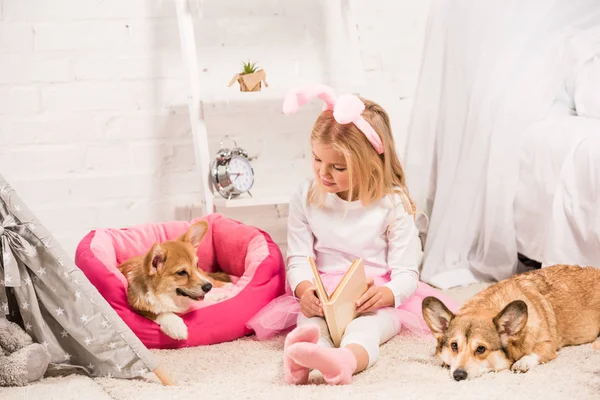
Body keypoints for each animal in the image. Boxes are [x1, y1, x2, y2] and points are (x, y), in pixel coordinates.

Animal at [422, 264, 600, 380]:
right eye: (454, 346)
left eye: (481, 349)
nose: (458, 375)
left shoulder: (547, 345)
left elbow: (534, 353)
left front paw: (522, 363)